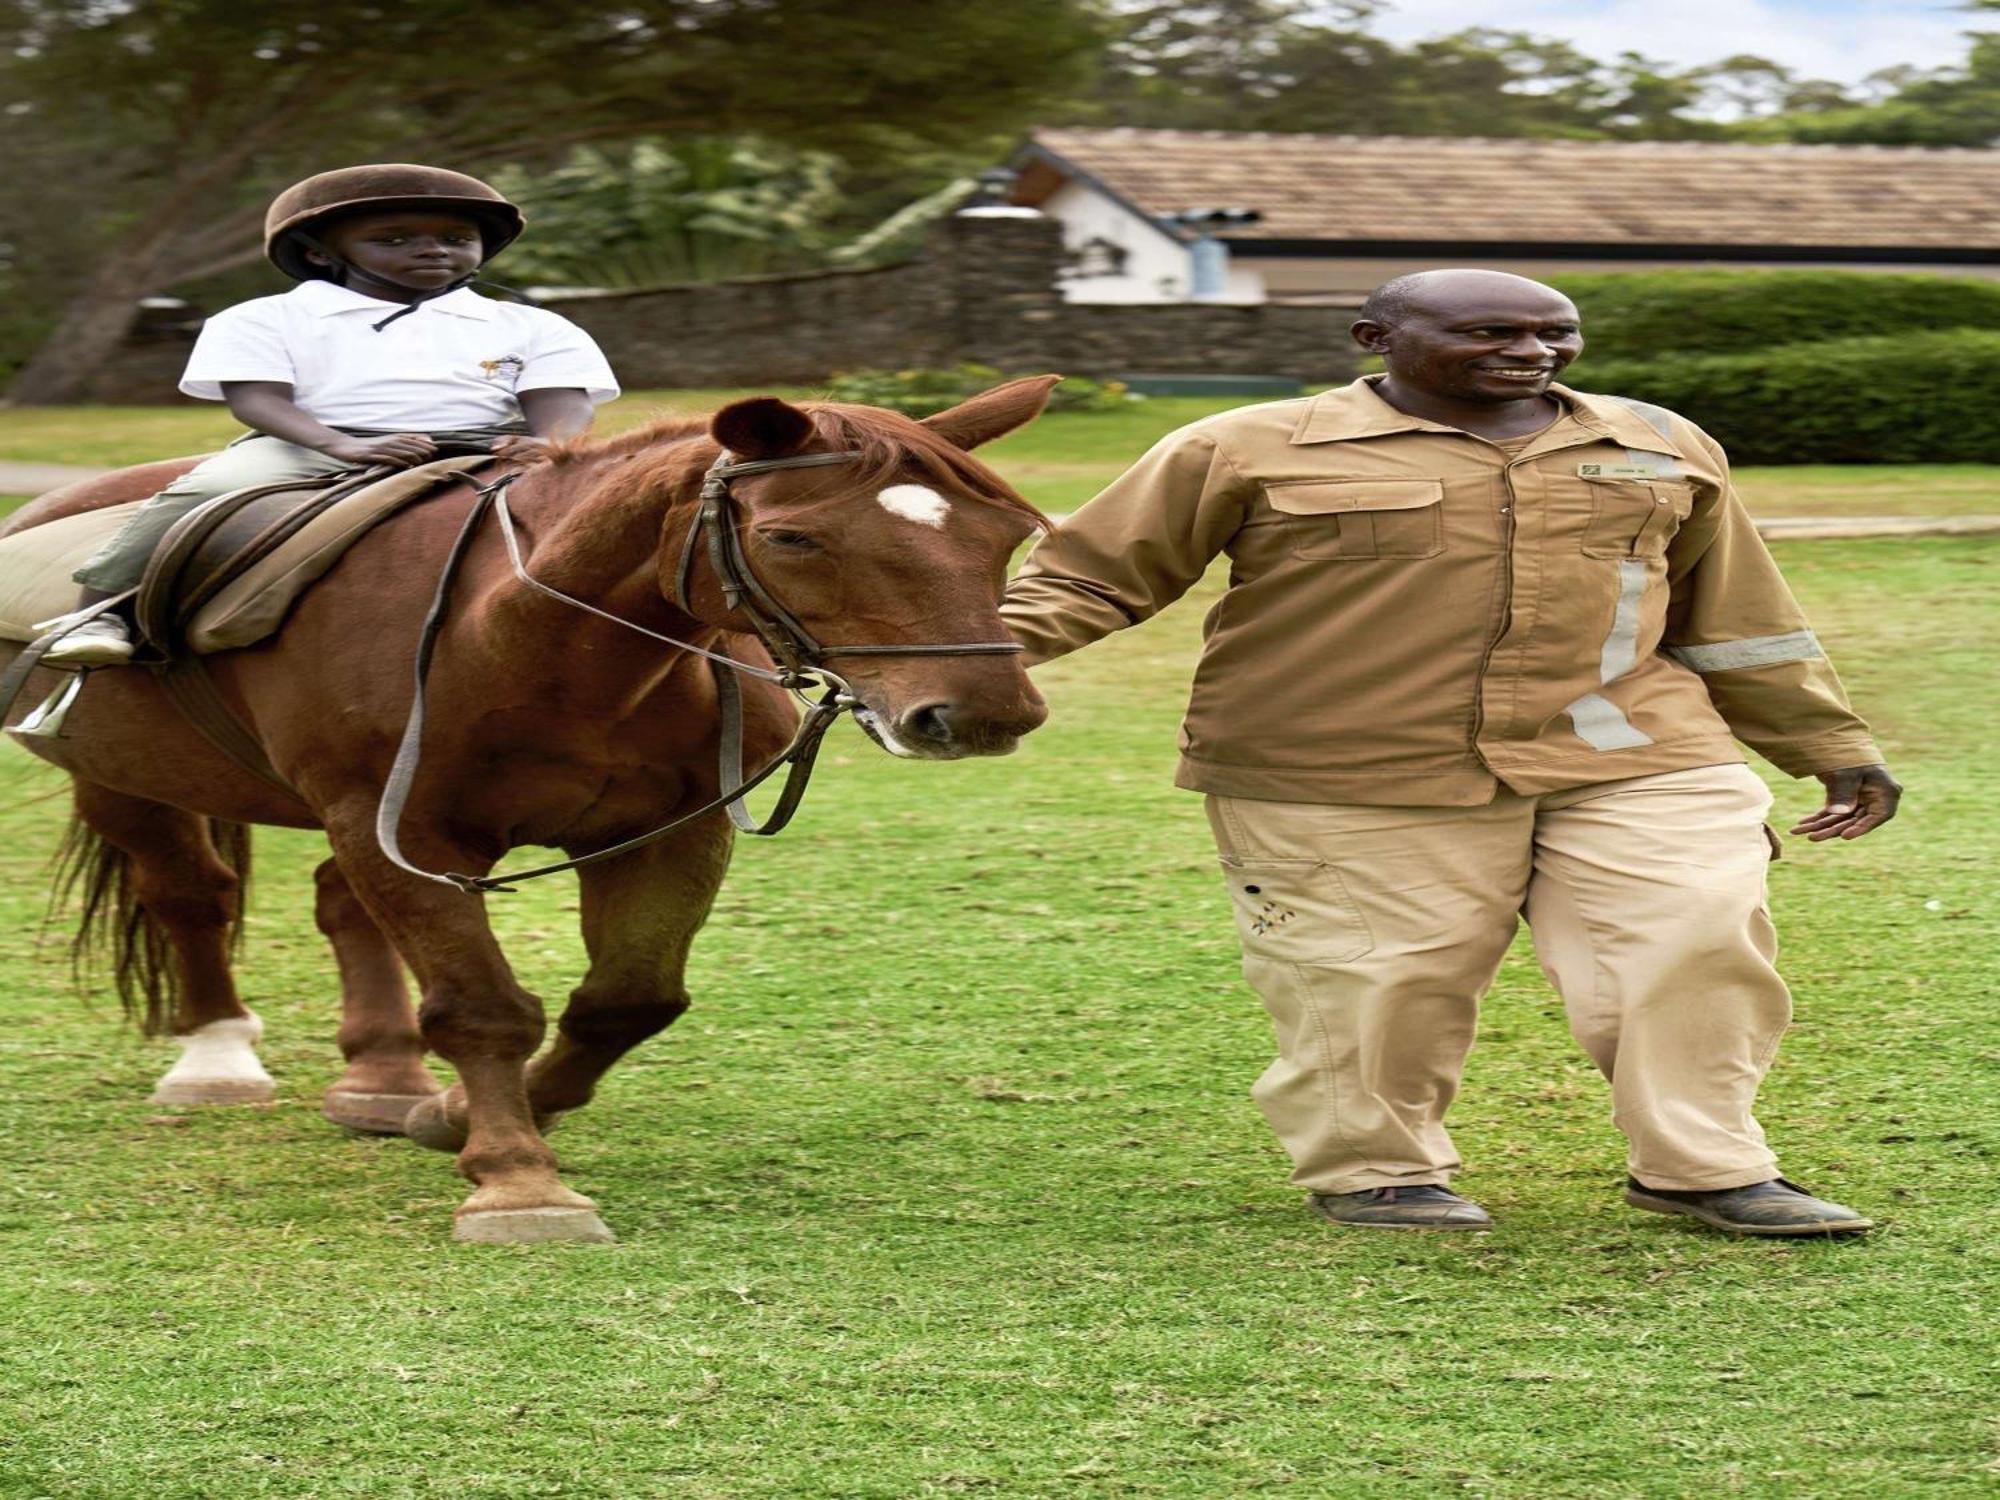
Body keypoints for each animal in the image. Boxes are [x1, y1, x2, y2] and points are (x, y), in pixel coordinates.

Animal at [0, 378, 1056, 1248]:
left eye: (1005, 537)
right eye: (793, 537)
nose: (982, 711)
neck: (530, 640)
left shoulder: (670, 831)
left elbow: (628, 1001)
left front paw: (456, 1117)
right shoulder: (397, 827)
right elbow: (481, 1008)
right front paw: (515, 1180)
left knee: (339, 904)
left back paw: (384, 1078)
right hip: (125, 775)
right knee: (191, 895)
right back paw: (218, 1057)